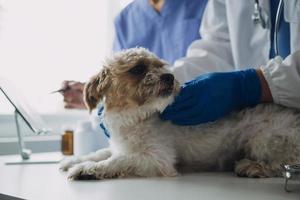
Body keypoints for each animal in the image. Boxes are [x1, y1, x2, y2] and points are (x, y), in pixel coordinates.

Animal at [60, 47, 300, 180]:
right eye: (137, 69)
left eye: (159, 66)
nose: (169, 77)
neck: (137, 117)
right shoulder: (120, 146)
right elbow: (101, 152)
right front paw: (75, 161)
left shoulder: (155, 159)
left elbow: (115, 161)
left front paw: (86, 170)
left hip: (262, 141)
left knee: (285, 163)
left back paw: (252, 167)